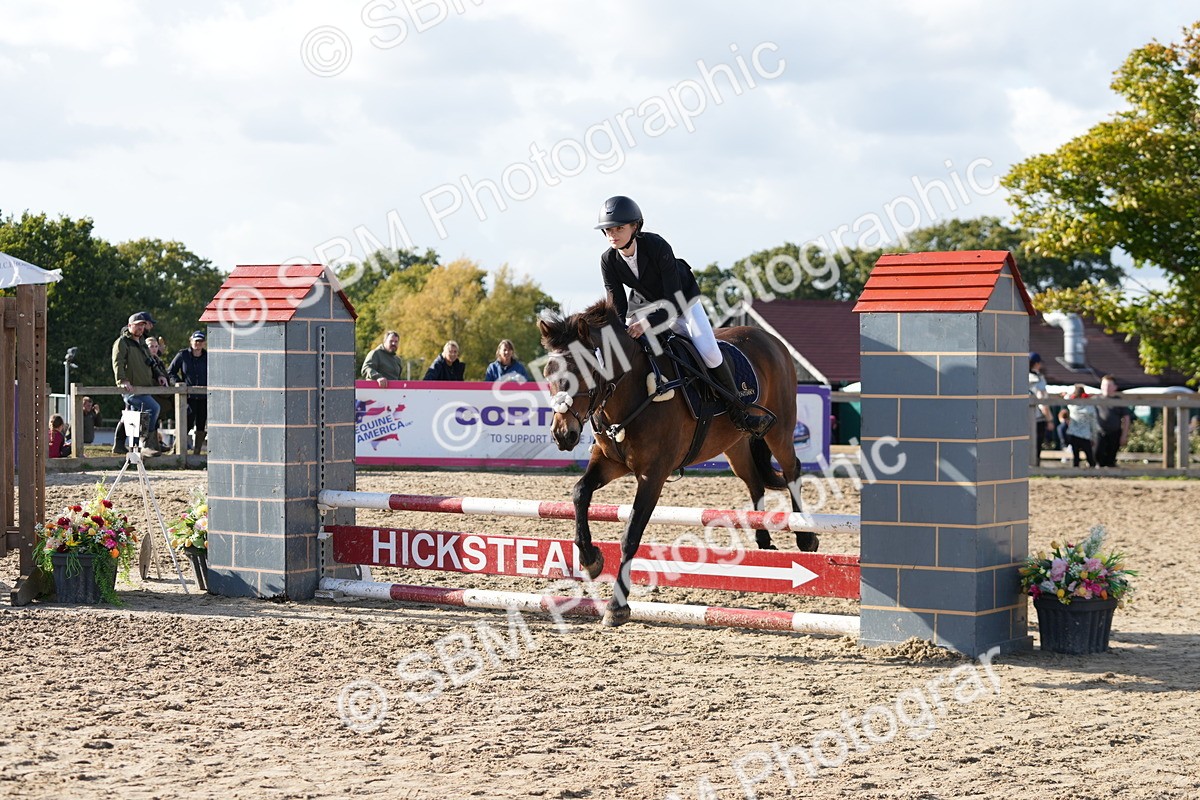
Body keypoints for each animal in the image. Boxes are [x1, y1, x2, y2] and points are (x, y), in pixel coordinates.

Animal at [537, 298, 816, 627]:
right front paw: (590, 559)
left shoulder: (653, 475)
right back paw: (762, 539)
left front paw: (616, 607)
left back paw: (806, 537)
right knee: (754, 482)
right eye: (547, 373)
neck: (632, 389)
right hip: (735, 445)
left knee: (792, 470)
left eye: (583, 371)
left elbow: (630, 535)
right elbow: (580, 492)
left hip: (780, 428)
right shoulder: (609, 462)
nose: (562, 435)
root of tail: (771, 340)